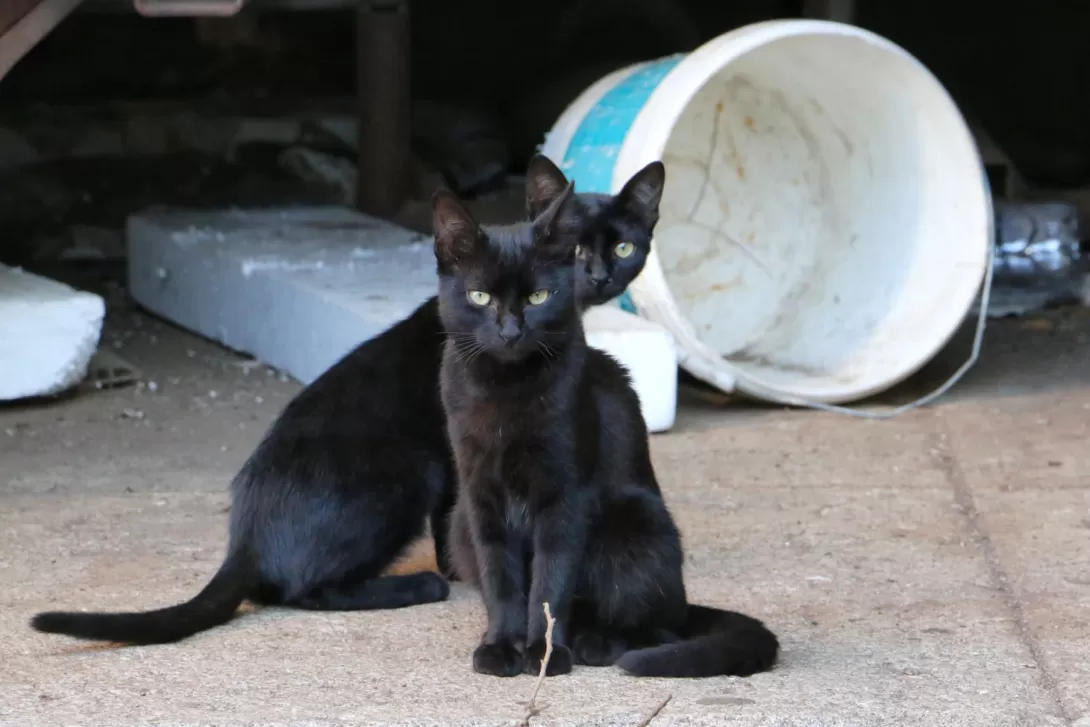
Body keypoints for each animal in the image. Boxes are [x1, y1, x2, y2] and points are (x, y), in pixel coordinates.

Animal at [31, 156, 662, 645]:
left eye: (623, 247)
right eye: (576, 251)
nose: (599, 277)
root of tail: (244, 537)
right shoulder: (454, 455)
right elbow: (459, 525)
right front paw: (461, 572)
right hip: (412, 468)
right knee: (301, 589)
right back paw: (416, 585)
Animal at [429, 178, 780, 680]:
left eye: (538, 297)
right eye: (479, 297)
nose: (511, 331)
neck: (505, 389)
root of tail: (685, 603)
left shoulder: (564, 496)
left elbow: (551, 583)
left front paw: (544, 654)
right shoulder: (480, 497)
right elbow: (500, 580)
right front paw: (499, 647)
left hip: (636, 526)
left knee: (657, 625)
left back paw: (597, 642)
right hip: (459, 524)